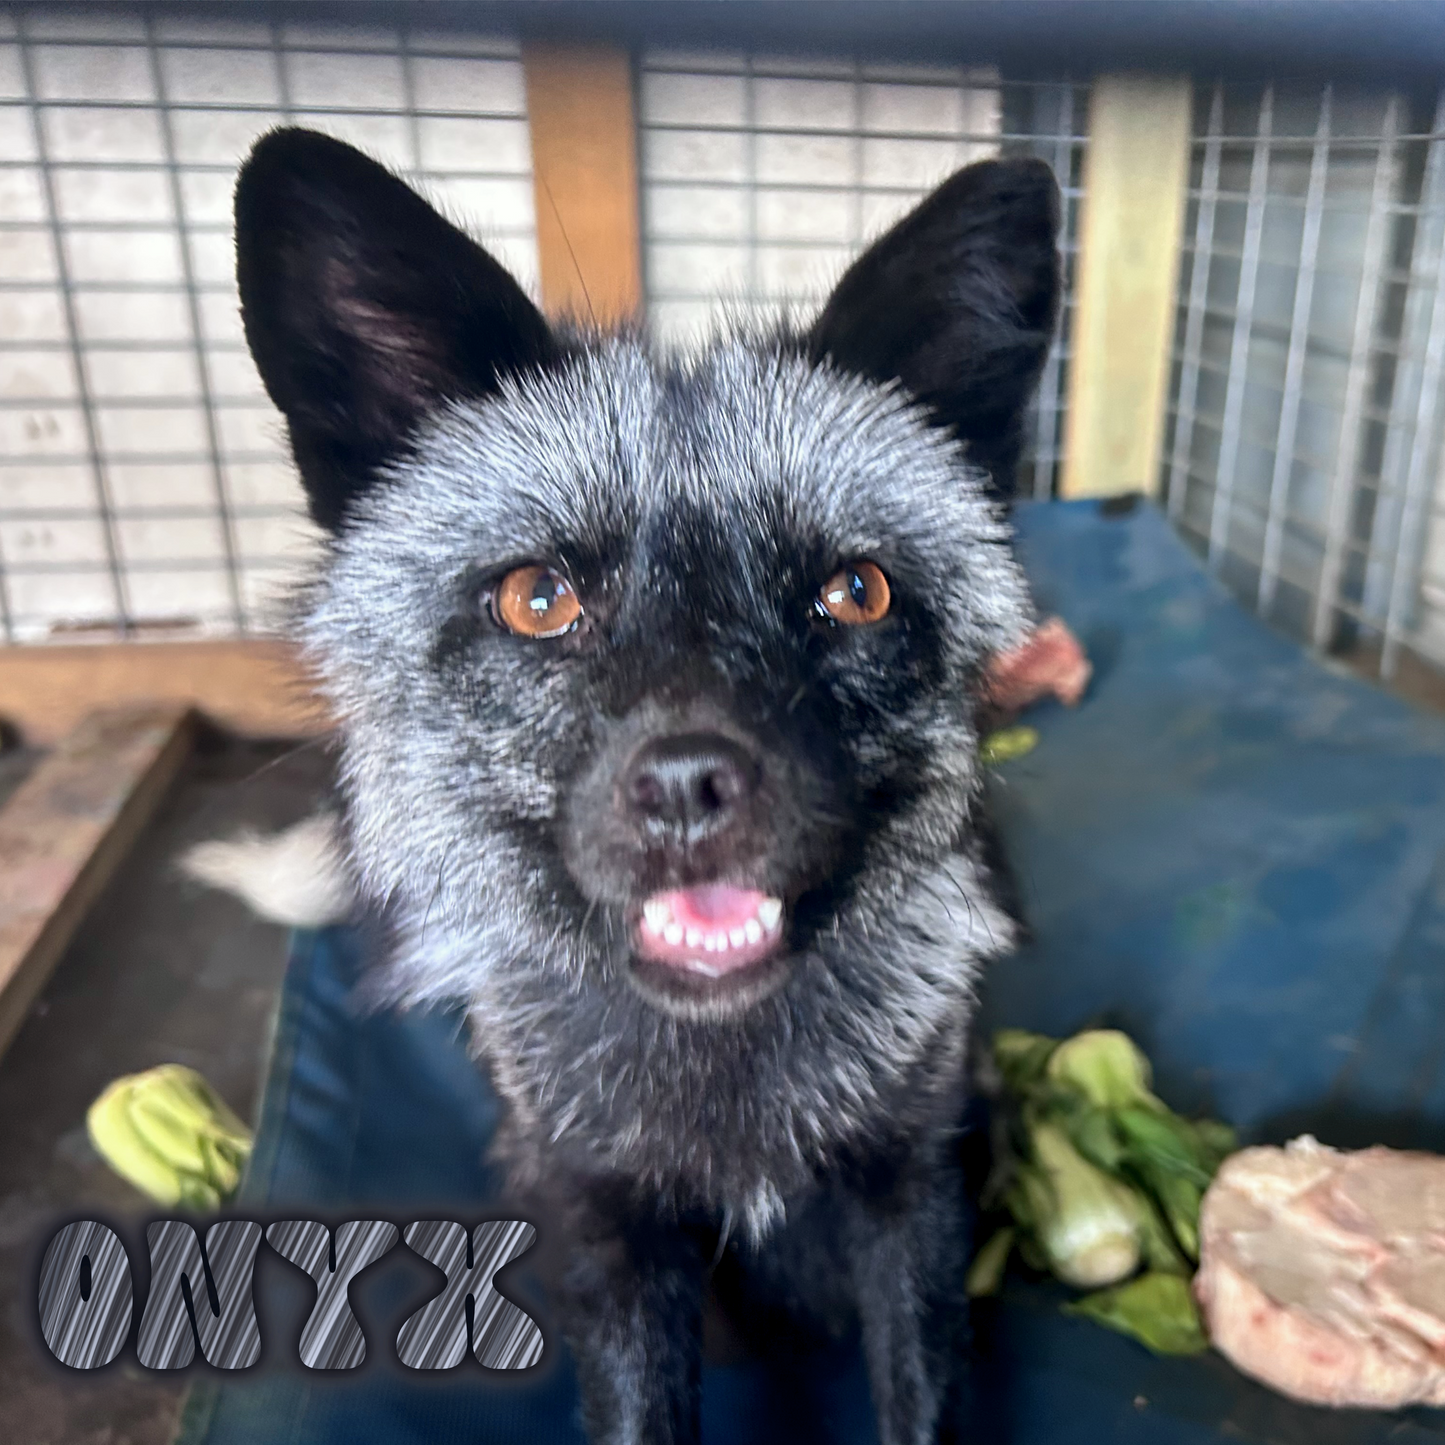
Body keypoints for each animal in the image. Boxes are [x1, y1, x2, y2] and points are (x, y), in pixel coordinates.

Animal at [207, 126, 1061, 1445]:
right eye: (537, 597)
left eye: (854, 592)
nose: (690, 785)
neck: (728, 1082)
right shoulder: (604, 1222)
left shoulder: (909, 1184)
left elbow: (921, 1394)